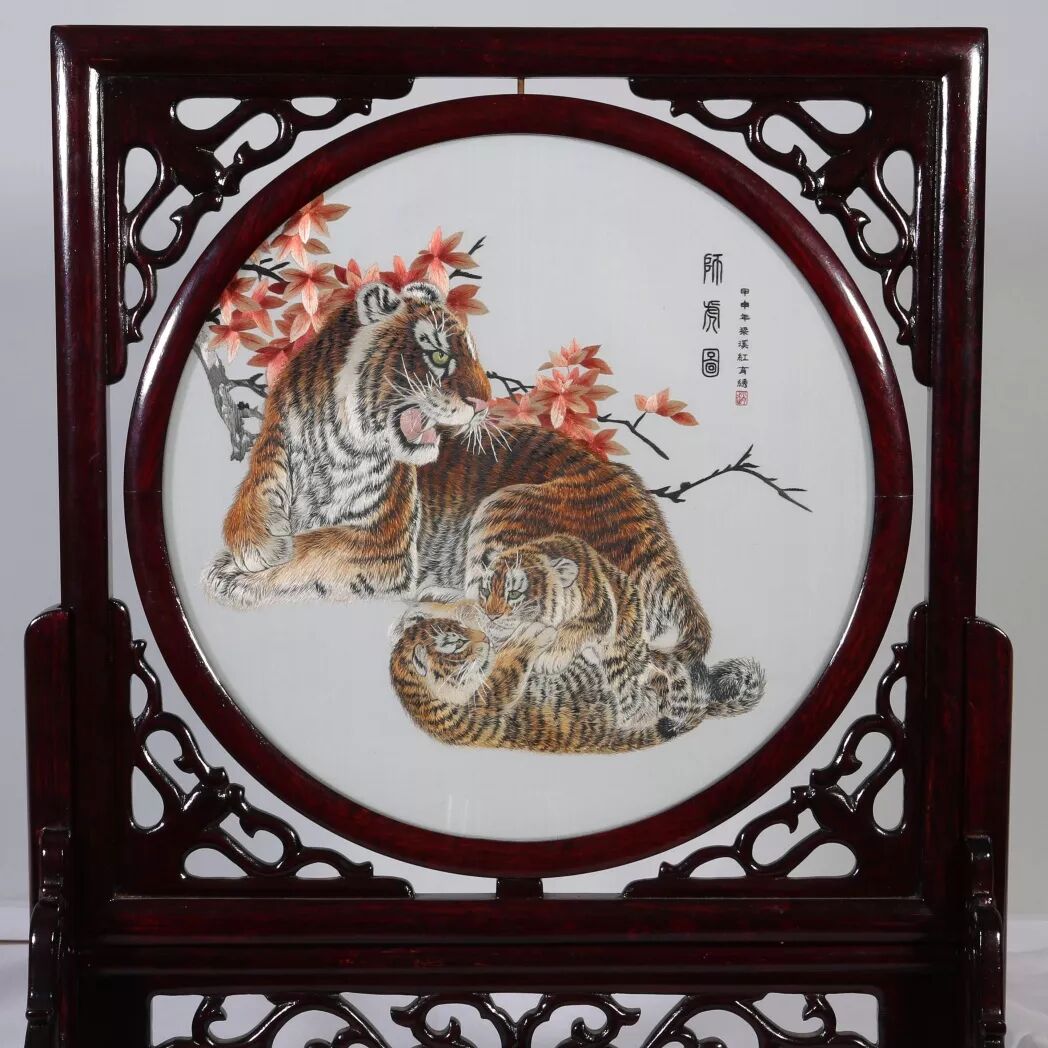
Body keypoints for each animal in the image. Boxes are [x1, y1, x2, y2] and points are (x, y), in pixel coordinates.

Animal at [389, 605, 702, 753]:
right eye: (455, 644)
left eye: (460, 629)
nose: (484, 640)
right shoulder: (485, 699)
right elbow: (508, 666)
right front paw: (531, 635)